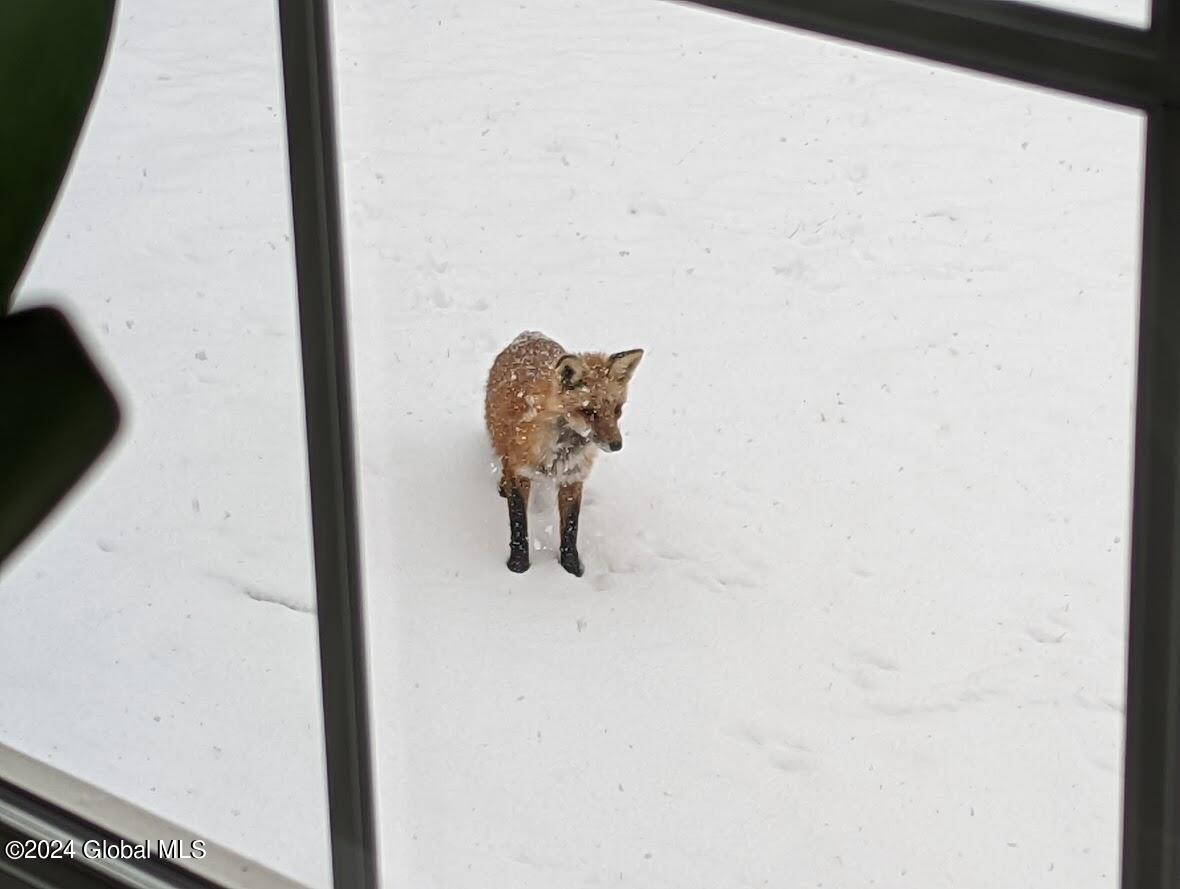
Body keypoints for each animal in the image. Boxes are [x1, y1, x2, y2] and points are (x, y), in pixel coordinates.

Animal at [485, 331, 644, 576]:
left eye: (617, 409)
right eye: (589, 412)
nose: (617, 445)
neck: (561, 451)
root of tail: (530, 334)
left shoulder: (573, 478)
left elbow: (570, 528)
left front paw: (571, 567)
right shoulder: (521, 473)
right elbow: (519, 522)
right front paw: (518, 565)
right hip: (499, 438)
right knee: (503, 462)